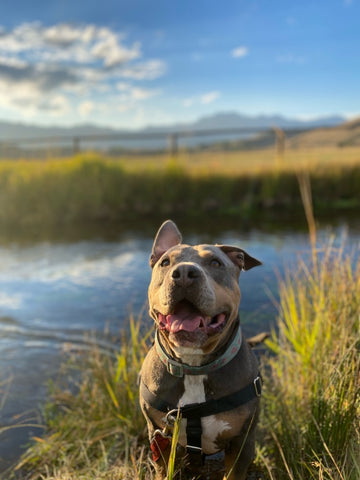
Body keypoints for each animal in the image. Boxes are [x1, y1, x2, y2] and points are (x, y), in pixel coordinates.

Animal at [140, 221, 262, 480]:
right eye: (165, 262)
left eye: (216, 263)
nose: (185, 273)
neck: (193, 367)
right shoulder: (157, 436)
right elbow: (163, 470)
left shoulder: (242, 443)